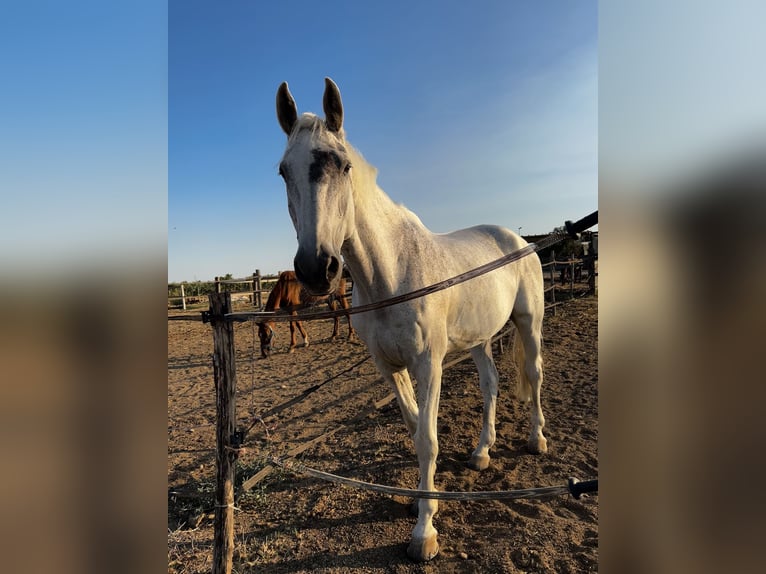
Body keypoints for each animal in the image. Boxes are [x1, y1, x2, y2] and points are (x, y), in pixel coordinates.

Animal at [274, 79, 544, 564]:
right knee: (491, 384)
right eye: (284, 171)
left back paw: (537, 439)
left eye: (343, 165)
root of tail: (521, 242)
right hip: (479, 340)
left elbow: (428, 439)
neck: (392, 275)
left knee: (532, 374)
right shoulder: (389, 366)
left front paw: (425, 532)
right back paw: (482, 452)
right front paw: (423, 503)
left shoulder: (428, 364)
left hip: (529, 324)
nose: (316, 268)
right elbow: (416, 427)